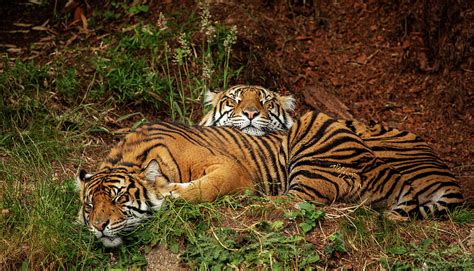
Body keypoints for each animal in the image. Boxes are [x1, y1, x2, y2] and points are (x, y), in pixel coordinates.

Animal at [77, 109, 462, 248]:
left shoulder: (230, 168)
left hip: (310, 136)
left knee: (298, 200)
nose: (98, 227)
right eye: (89, 206)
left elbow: (203, 189)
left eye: (119, 199)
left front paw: (169, 194)